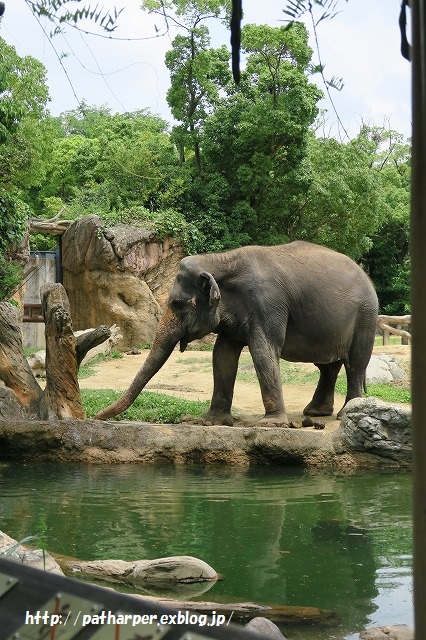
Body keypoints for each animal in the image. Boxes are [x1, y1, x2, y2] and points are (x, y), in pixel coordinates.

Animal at [95, 240, 378, 424]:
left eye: (177, 304)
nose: (96, 417)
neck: (221, 258)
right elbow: (222, 355)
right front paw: (212, 422)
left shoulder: (268, 304)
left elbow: (263, 351)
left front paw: (271, 424)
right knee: (328, 366)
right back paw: (316, 413)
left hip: (366, 316)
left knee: (355, 364)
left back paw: (345, 413)